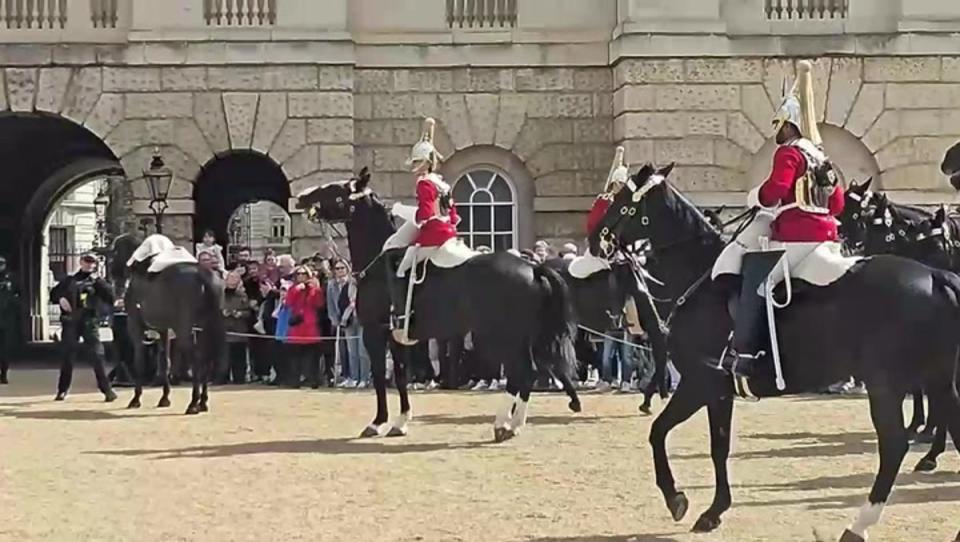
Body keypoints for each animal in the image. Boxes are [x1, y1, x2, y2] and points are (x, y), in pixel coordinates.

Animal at [110, 233, 227, 416]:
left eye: (114, 252)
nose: (112, 274)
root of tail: (203, 274)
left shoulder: (135, 326)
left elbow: (139, 362)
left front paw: (136, 399)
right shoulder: (163, 330)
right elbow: (165, 362)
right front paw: (164, 398)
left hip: (184, 330)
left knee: (197, 359)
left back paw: (193, 403)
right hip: (205, 328)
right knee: (206, 359)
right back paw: (202, 402)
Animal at [296, 168, 576, 444]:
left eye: (335, 189)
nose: (300, 197)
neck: (378, 265)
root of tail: (533, 267)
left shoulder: (374, 333)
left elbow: (378, 375)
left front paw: (377, 423)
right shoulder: (397, 336)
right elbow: (400, 375)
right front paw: (401, 422)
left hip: (503, 336)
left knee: (523, 372)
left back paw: (502, 425)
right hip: (521, 337)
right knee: (528, 372)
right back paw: (515, 424)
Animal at [592, 166, 960, 542]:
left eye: (622, 202)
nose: (594, 239)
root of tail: (936, 277)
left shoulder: (701, 381)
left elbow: (661, 433)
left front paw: (677, 499)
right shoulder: (720, 390)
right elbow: (717, 446)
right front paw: (714, 510)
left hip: (885, 386)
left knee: (894, 445)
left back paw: (858, 525)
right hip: (938, 379)